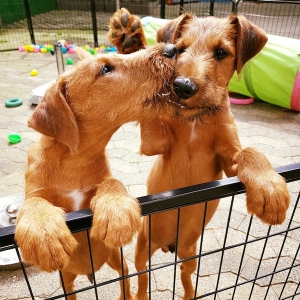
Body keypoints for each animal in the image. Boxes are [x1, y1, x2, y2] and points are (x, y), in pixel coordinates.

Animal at [14, 43, 185, 298]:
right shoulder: (35, 189)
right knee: (71, 291)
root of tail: (89, 273)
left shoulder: (102, 180)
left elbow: (112, 183)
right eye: (105, 69)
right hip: (66, 279)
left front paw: (116, 212)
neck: (75, 160)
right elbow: (33, 202)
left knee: (125, 281)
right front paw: (44, 233)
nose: (172, 48)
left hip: (117, 259)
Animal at [109, 8, 290, 298]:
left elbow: (250, 152)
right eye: (180, 49)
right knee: (142, 276)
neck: (195, 119)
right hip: (142, 247)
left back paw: (190, 294)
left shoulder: (229, 160)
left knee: (185, 276)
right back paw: (140, 294)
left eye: (221, 52)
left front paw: (270, 189)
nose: (182, 86)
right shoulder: (155, 144)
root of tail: (169, 247)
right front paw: (131, 41)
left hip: (190, 255)